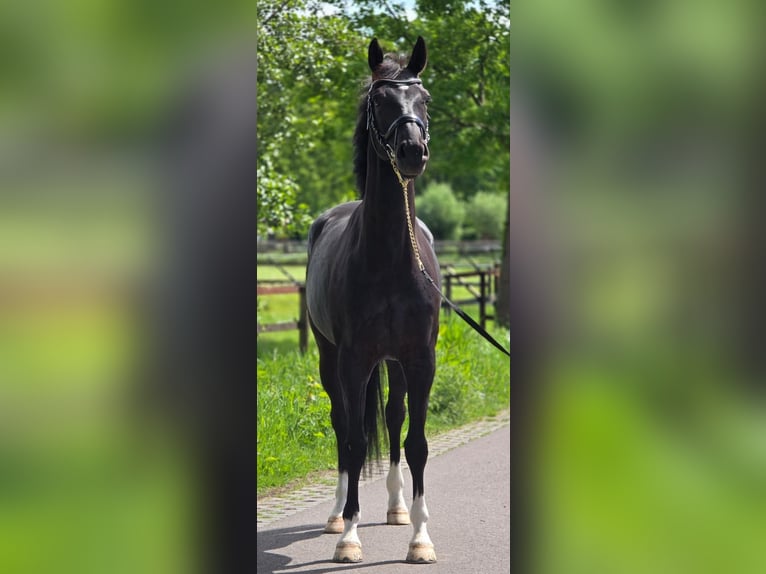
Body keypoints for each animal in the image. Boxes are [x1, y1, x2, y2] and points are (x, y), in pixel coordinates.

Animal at [304, 36, 441, 564]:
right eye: (380, 102)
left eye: (424, 99)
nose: (412, 151)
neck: (389, 259)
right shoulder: (353, 360)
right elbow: (355, 440)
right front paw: (349, 537)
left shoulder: (420, 359)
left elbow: (416, 441)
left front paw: (420, 538)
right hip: (330, 359)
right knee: (343, 426)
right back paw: (337, 514)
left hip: (396, 365)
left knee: (393, 417)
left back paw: (398, 507)